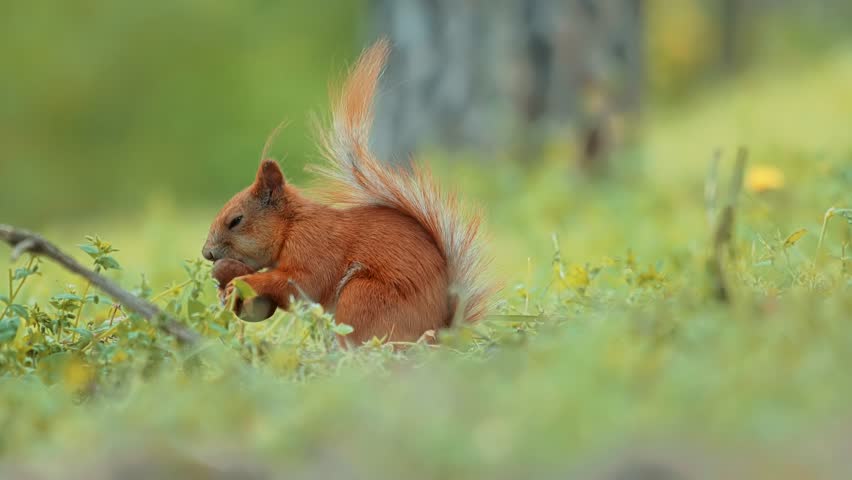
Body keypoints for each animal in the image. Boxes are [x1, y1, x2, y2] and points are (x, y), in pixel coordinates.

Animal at [202, 39, 492, 345]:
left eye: (236, 220)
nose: (206, 254)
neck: (292, 226)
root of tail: (440, 335)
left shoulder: (315, 247)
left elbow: (300, 283)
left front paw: (241, 283)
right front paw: (226, 294)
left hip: (361, 296)